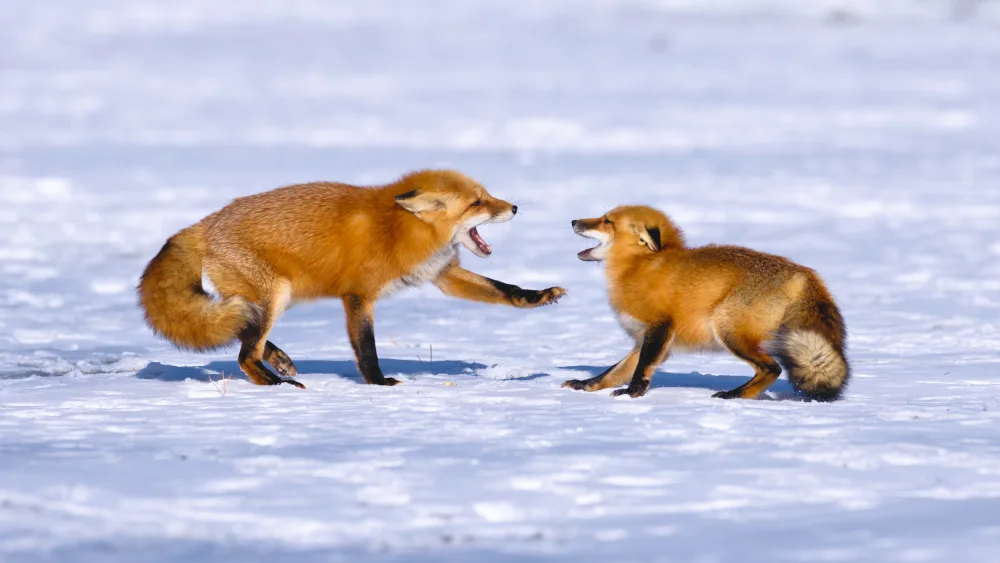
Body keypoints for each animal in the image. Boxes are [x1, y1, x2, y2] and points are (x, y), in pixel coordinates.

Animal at [138, 169, 566, 389]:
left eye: (487, 194)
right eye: (477, 202)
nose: (514, 207)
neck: (400, 229)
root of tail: (205, 224)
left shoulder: (443, 275)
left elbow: (504, 291)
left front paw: (538, 296)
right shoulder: (358, 295)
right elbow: (366, 347)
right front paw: (378, 383)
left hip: (264, 300)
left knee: (245, 335)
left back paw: (279, 362)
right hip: (275, 295)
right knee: (245, 353)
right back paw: (276, 384)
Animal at [561, 205, 849, 401]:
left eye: (606, 220)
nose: (573, 221)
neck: (640, 266)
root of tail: (803, 272)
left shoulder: (659, 327)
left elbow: (641, 369)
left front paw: (631, 394)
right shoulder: (648, 338)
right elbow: (613, 371)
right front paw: (586, 385)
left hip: (728, 330)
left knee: (772, 368)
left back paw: (733, 396)